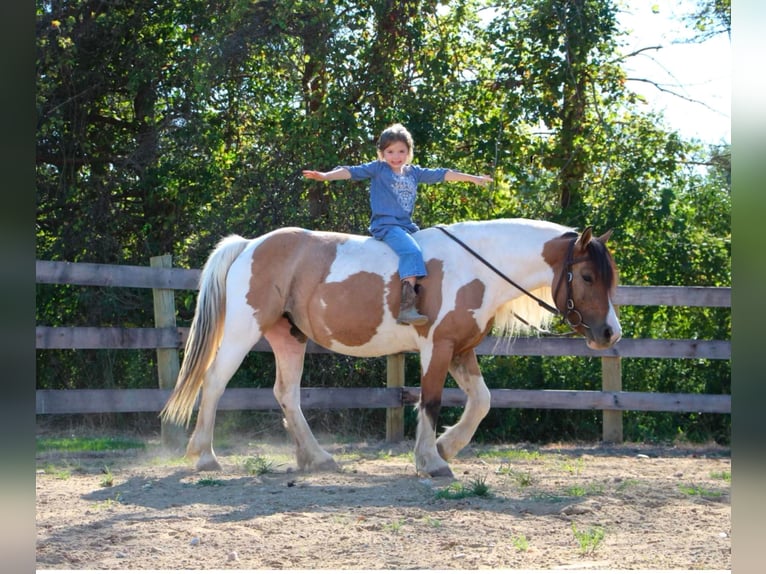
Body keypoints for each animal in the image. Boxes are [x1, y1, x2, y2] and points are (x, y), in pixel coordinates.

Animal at [162, 218, 624, 480]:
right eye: (586, 276)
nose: (609, 333)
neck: (477, 266)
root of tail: (248, 245)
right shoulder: (438, 347)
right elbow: (431, 401)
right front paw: (432, 461)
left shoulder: (461, 349)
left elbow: (482, 401)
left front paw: (445, 446)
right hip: (244, 331)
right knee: (214, 382)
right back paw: (204, 457)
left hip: (289, 338)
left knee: (286, 394)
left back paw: (316, 457)